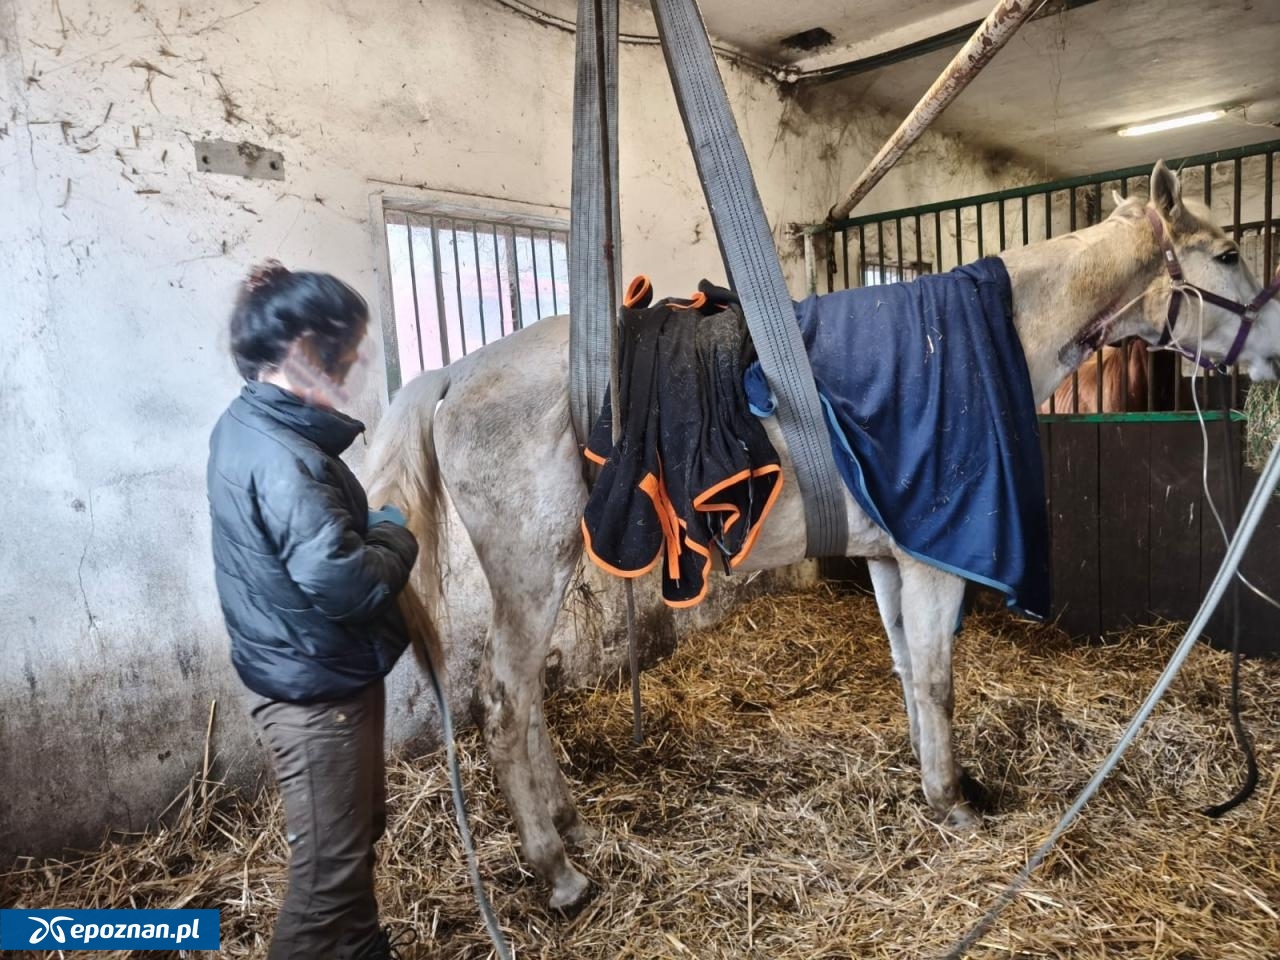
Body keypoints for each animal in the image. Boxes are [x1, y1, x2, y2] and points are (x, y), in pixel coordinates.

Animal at [366, 161, 1280, 911]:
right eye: (1230, 251)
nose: (1275, 352)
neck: (982, 341)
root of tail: (455, 373)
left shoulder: (889, 557)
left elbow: (910, 672)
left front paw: (938, 777)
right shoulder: (932, 557)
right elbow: (940, 680)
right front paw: (952, 806)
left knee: (523, 705)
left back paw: (572, 828)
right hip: (533, 567)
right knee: (505, 703)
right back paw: (557, 871)